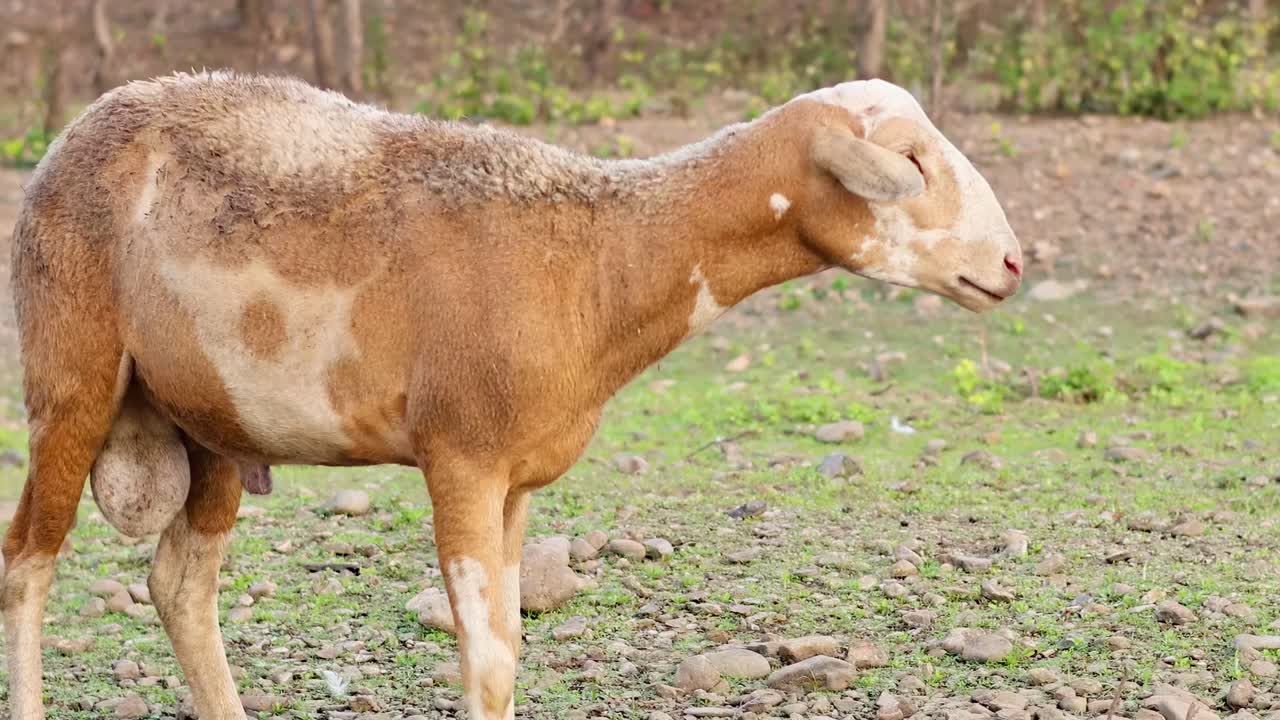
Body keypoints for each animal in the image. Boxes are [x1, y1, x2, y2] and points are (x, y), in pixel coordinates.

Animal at [1, 71, 1022, 720]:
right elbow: (486, 665)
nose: (1013, 264)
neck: (604, 260)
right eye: (910, 163)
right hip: (70, 369)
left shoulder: (521, 479)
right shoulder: (462, 457)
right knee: (28, 563)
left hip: (211, 415)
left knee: (180, 581)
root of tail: (72, 132)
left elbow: (510, 648)